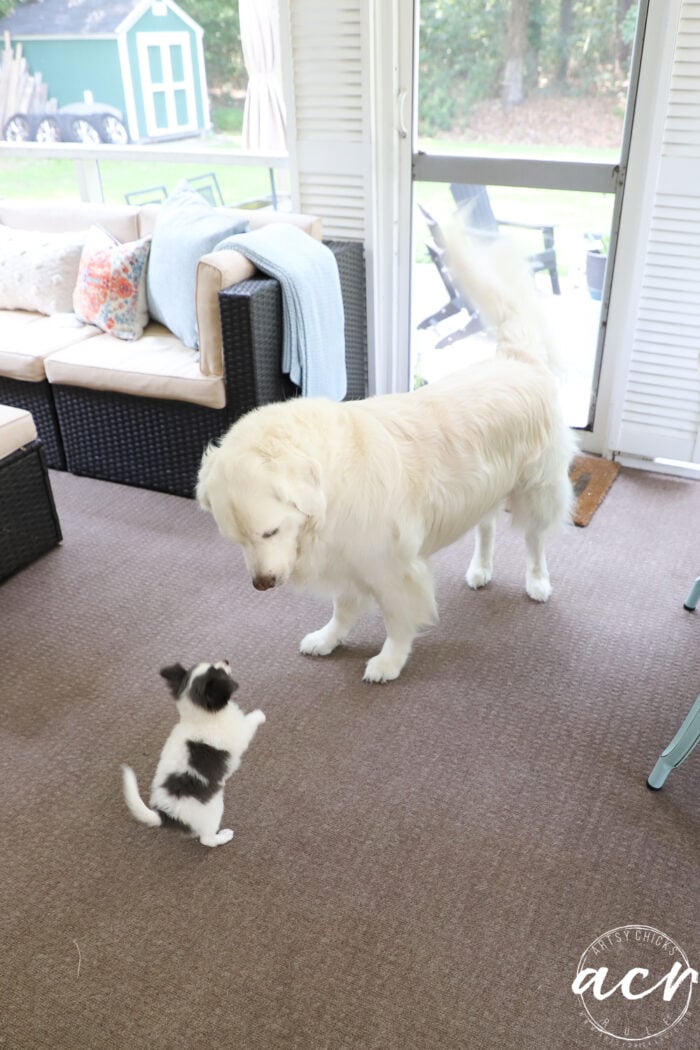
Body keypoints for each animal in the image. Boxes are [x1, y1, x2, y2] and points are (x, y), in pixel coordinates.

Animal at [120, 659, 265, 848]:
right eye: (218, 672)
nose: (226, 661)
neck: (199, 718)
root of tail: (167, 815)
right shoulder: (240, 732)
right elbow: (250, 720)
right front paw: (260, 715)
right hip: (214, 810)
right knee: (206, 839)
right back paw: (223, 836)